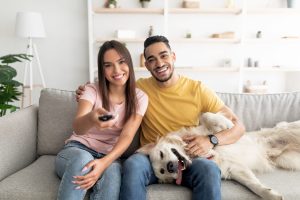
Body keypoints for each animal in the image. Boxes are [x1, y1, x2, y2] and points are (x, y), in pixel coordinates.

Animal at [138, 112, 300, 200]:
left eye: (161, 154)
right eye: (163, 171)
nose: (171, 167)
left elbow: (206, 116)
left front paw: (226, 123)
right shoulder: (233, 169)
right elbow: (253, 185)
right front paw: (270, 194)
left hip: (288, 129)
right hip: (289, 160)